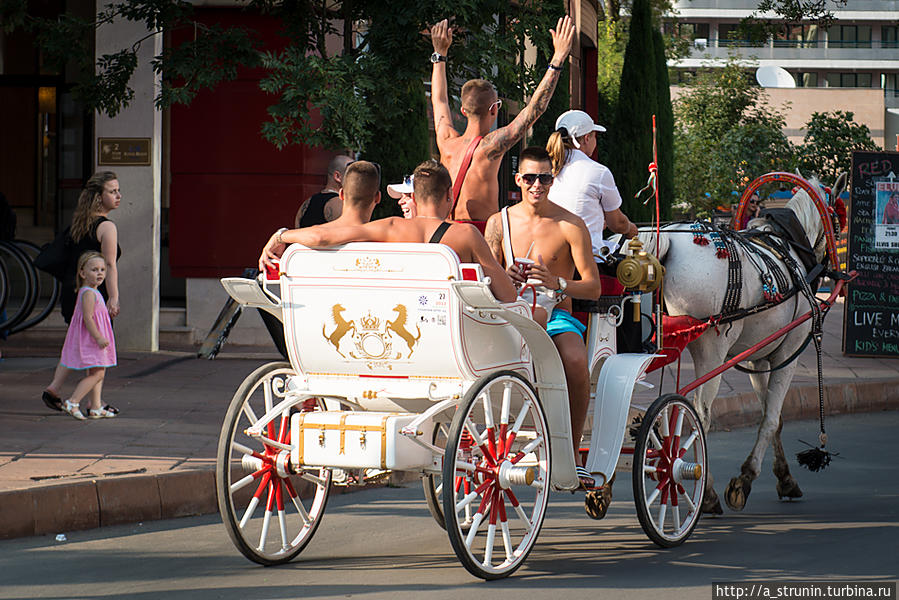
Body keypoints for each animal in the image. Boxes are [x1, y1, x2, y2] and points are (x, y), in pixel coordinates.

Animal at [636, 183, 832, 510]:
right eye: (836, 213)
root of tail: (667, 240)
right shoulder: (788, 352)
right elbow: (772, 417)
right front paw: (744, 479)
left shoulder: (758, 358)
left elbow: (770, 416)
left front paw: (785, 478)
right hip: (711, 349)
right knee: (699, 415)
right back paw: (704, 490)